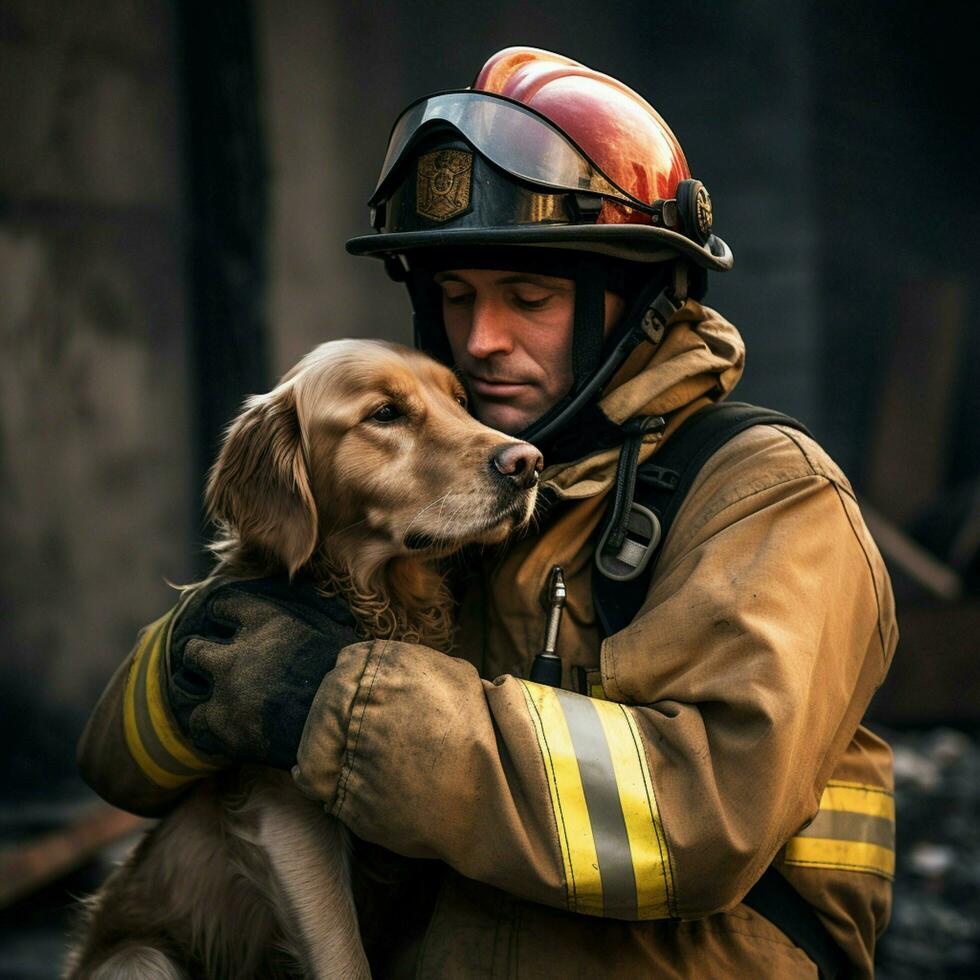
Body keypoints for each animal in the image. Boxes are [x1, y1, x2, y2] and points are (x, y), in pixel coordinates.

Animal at [67, 338, 544, 980]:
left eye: (462, 401)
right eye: (386, 414)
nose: (529, 463)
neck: (373, 600)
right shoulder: (289, 822)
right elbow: (343, 959)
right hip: (141, 959)